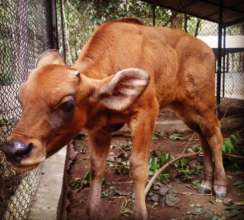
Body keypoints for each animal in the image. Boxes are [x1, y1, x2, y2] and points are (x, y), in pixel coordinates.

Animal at [1, 18, 227, 219]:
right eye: (20, 98)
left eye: (67, 104)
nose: (15, 150)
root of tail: (208, 49)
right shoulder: (98, 128)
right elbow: (96, 167)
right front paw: (93, 211)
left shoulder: (146, 112)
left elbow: (138, 166)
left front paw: (140, 213)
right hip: (186, 109)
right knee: (203, 136)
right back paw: (206, 183)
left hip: (205, 104)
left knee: (216, 136)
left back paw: (220, 186)